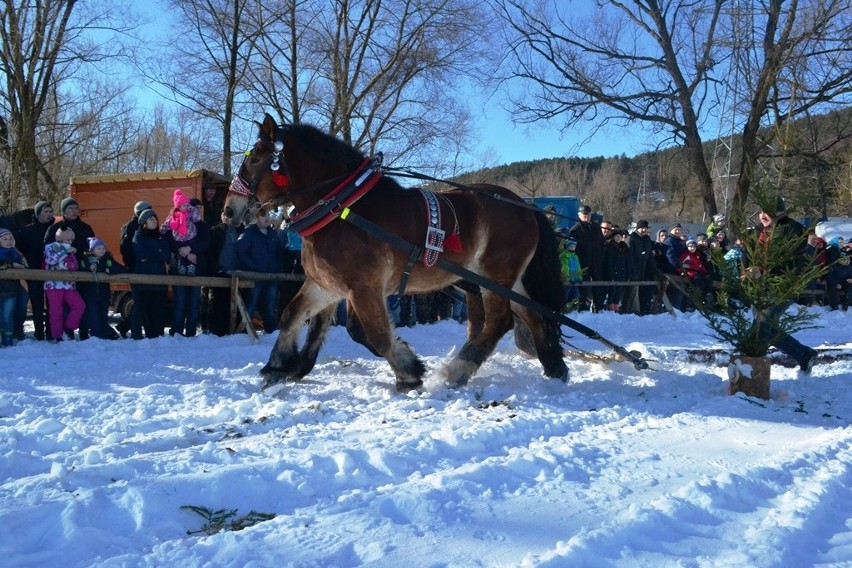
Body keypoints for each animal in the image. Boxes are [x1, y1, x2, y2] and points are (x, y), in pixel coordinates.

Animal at [230, 113, 568, 392]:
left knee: (500, 321)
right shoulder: (327, 285)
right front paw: (277, 368)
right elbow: (292, 316)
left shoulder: (363, 288)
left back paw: (458, 370)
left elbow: (372, 334)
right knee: (533, 314)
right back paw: (554, 367)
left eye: (256, 159)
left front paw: (409, 373)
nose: (229, 210)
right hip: (506, 281)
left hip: (494, 277)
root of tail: (525, 206)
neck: (342, 207)